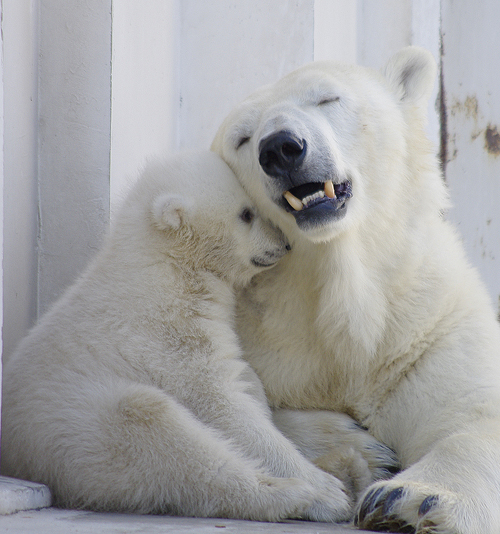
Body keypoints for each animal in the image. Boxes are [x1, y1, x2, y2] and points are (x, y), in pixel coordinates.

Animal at [212, 47, 500, 534]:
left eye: (327, 98)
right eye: (242, 138)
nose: (281, 148)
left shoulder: (430, 329)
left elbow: (474, 413)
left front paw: (408, 499)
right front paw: (364, 453)